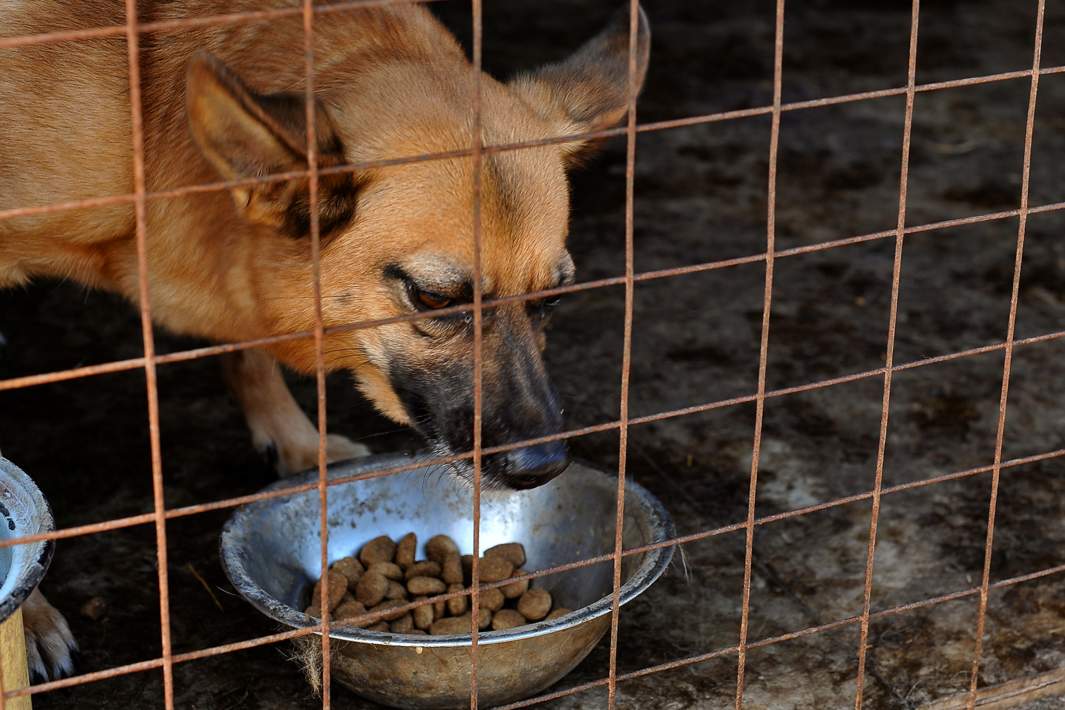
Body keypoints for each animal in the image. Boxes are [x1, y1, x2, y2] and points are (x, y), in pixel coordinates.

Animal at [0, 0, 647, 681]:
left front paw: (295, 443)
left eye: (552, 298)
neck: (146, 103)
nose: (542, 467)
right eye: (435, 299)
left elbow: (249, 344)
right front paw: (28, 613)